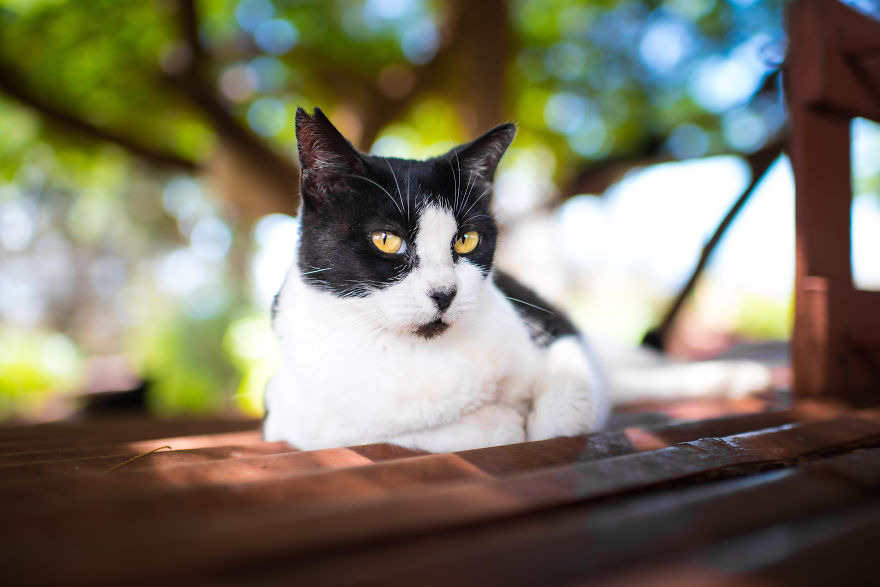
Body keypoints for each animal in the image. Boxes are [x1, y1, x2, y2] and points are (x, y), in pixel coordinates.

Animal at [262, 108, 768, 452]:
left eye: (466, 240)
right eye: (387, 240)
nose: (445, 294)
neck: (428, 353)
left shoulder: (555, 330)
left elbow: (569, 396)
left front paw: (543, 422)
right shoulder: (294, 415)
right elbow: (448, 430)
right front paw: (502, 420)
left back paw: (739, 378)